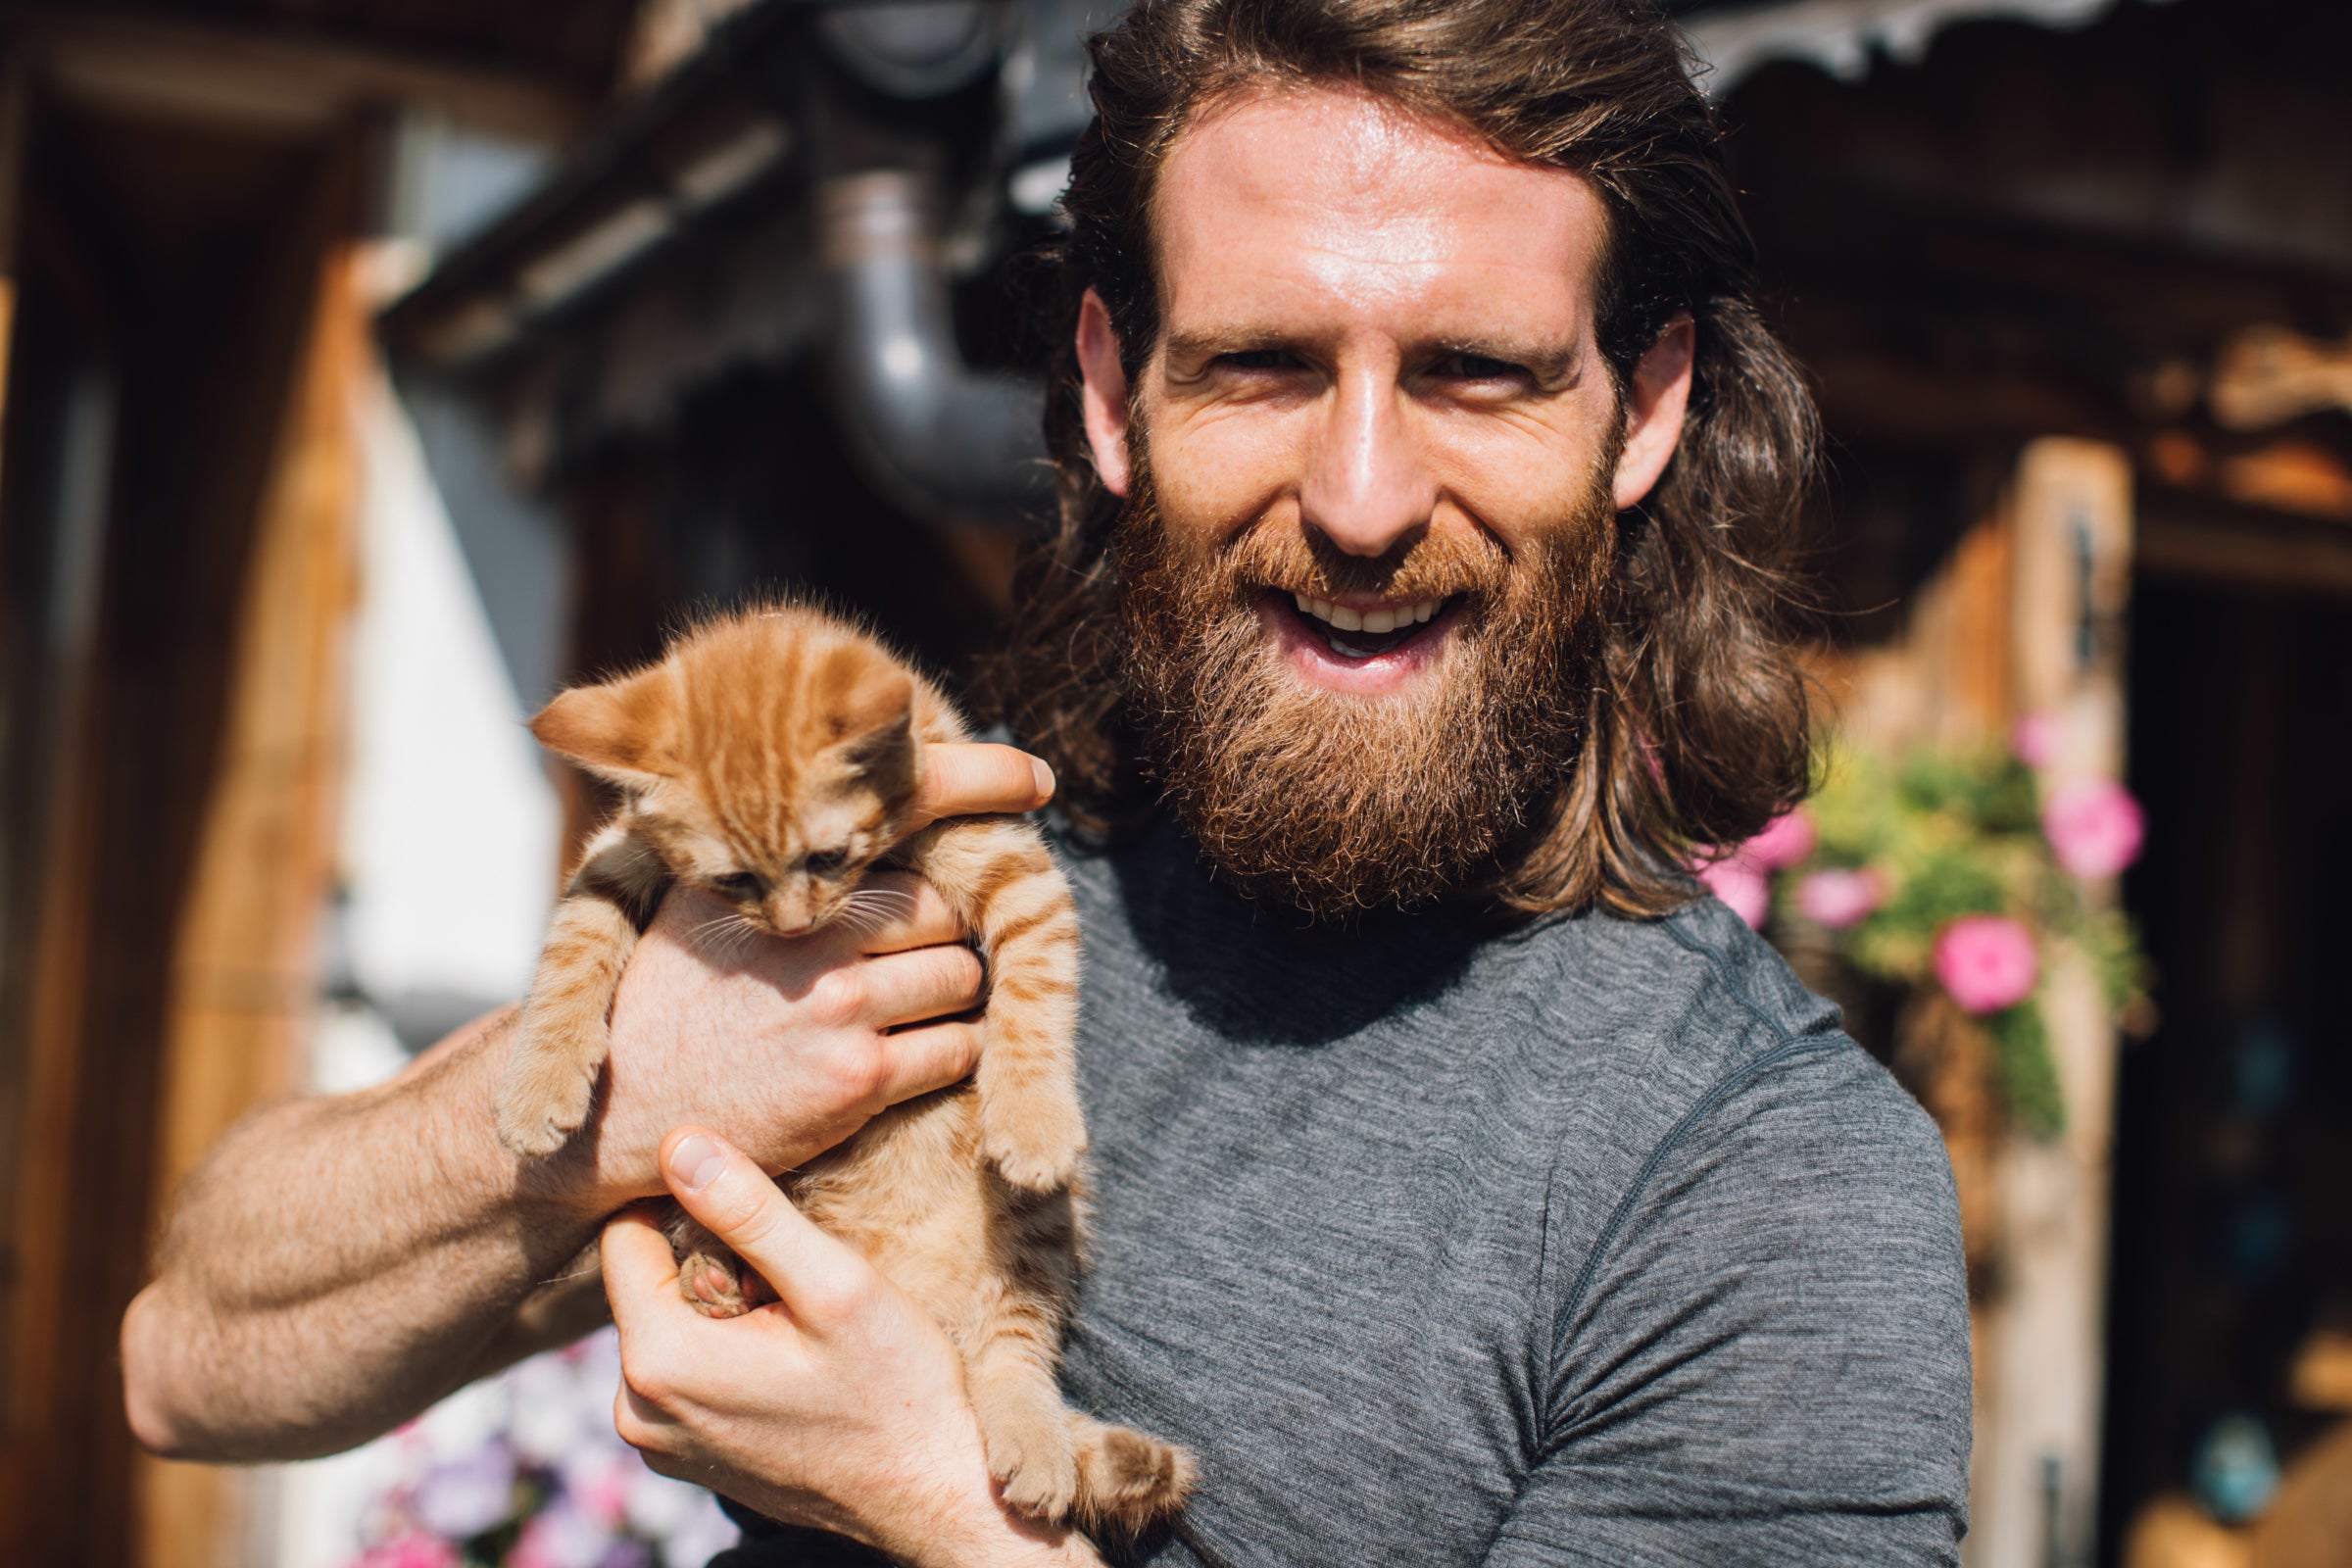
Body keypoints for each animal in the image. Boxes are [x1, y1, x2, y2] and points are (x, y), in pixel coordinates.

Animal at [498, 606, 1195, 1542]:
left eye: (825, 859)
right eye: (733, 879)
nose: (794, 929)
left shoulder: (1011, 862)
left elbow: (1035, 992)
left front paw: (1033, 1116)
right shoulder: (617, 854)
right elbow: (572, 948)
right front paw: (538, 1083)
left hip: (1043, 1226)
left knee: (1011, 1349)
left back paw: (1041, 1444)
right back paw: (714, 1270)